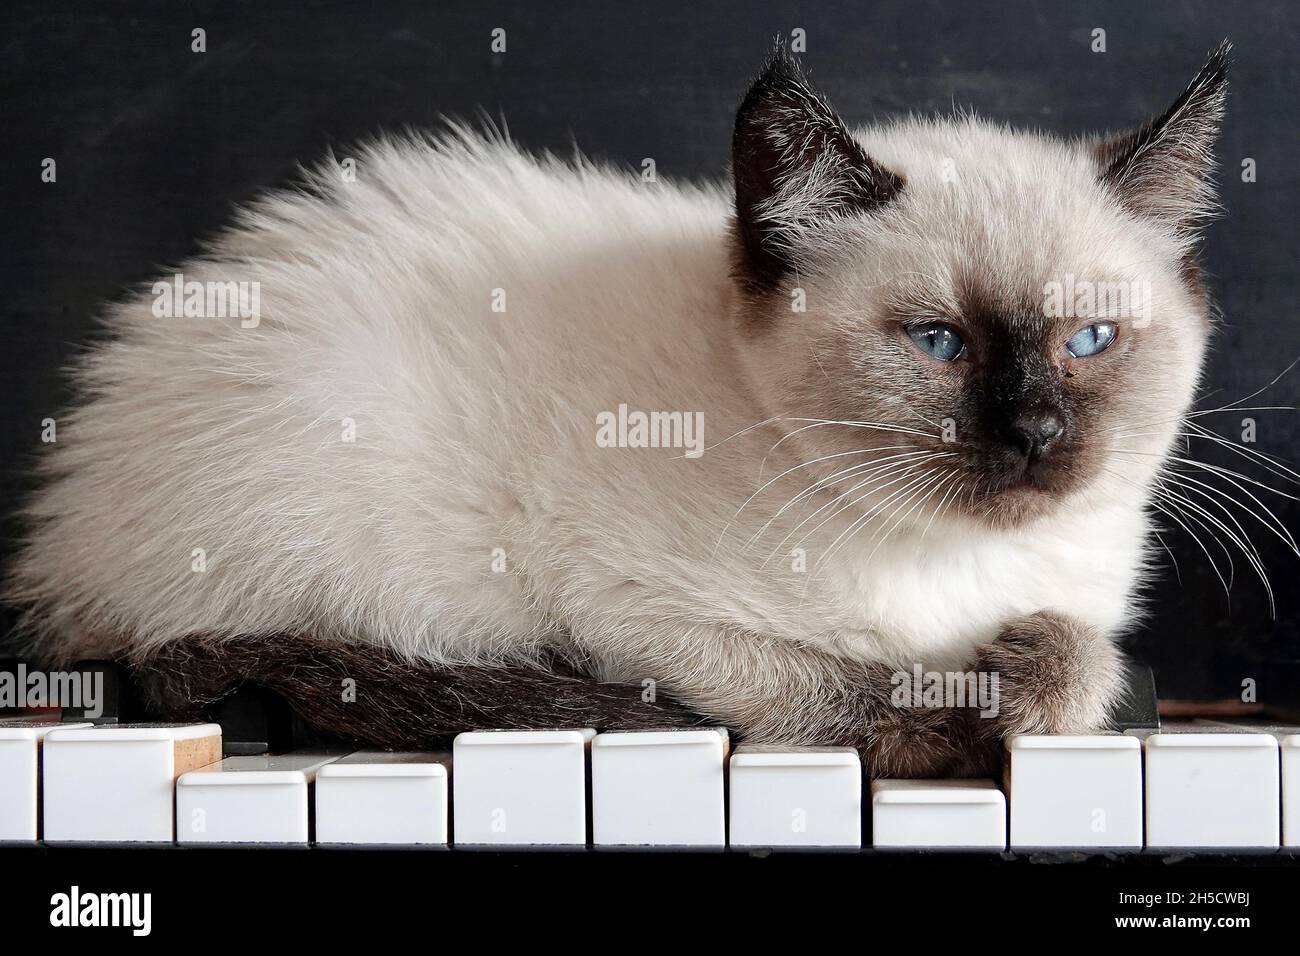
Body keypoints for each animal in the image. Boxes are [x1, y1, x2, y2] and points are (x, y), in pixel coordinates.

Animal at [7, 42, 1227, 780]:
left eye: (1088, 341)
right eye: (938, 343)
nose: (1034, 436)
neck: (956, 569)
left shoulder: (1086, 615)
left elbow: (1086, 664)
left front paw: (1029, 667)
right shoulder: (643, 619)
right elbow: (844, 693)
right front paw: (967, 713)